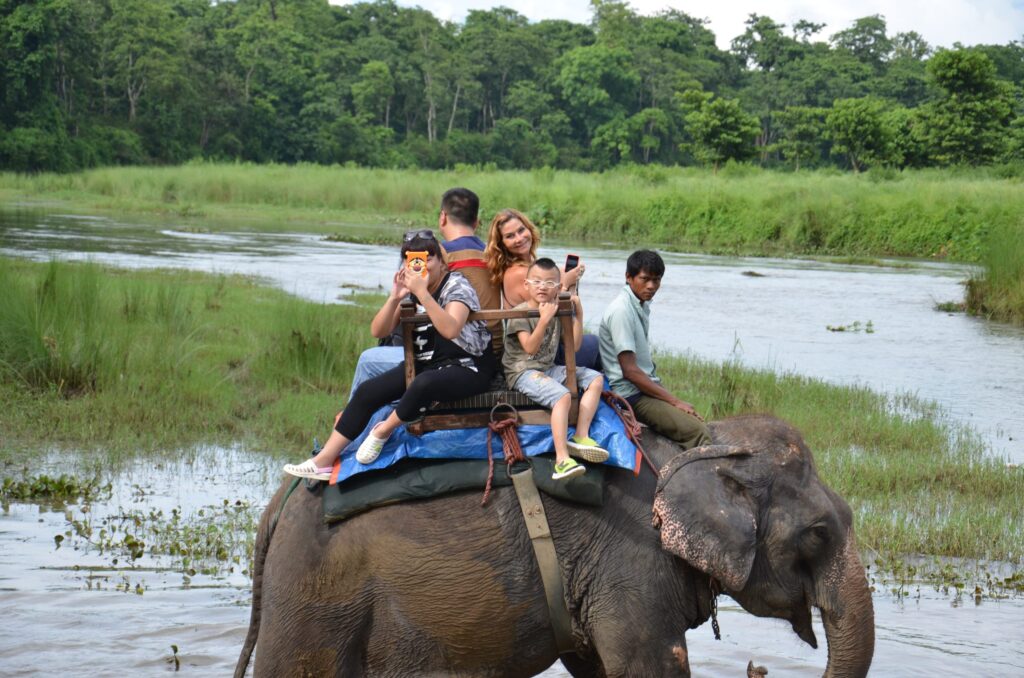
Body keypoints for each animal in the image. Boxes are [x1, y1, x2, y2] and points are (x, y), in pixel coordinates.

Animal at [234, 414, 874, 677]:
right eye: (820, 533)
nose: (757, 669)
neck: (701, 444)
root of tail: (275, 509)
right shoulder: (631, 562)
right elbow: (648, 668)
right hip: (317, 597)